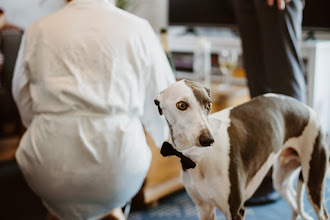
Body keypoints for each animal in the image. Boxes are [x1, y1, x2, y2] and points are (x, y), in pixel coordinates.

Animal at [155, 80, 330, 220]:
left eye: (209, 104)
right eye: (182, 105)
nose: (208, 140)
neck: (198, 157)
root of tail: (308, 109)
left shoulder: (235, 211)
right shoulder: (204, 209)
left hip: (314, 184)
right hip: (282, 179)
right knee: (294, 207)